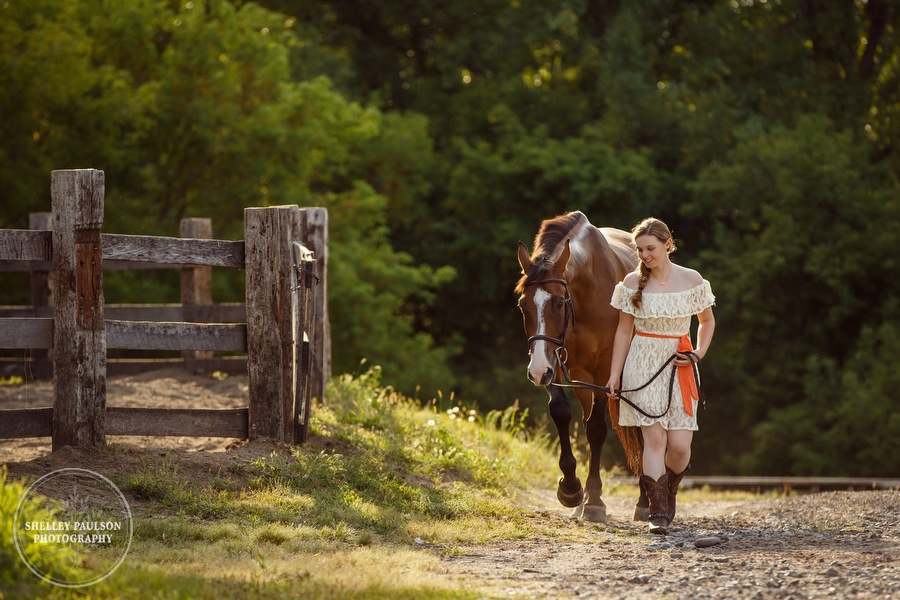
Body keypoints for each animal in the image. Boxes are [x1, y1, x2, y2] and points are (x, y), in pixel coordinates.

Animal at [512, 210, 648, 520]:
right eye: (523, 306)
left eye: (559, 303)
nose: (535, 371)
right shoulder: (553, 362)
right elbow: (562, 412)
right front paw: (571, 489)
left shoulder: (604, 369)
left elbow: (597, 429)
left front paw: (595, 500)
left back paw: (644, 502)